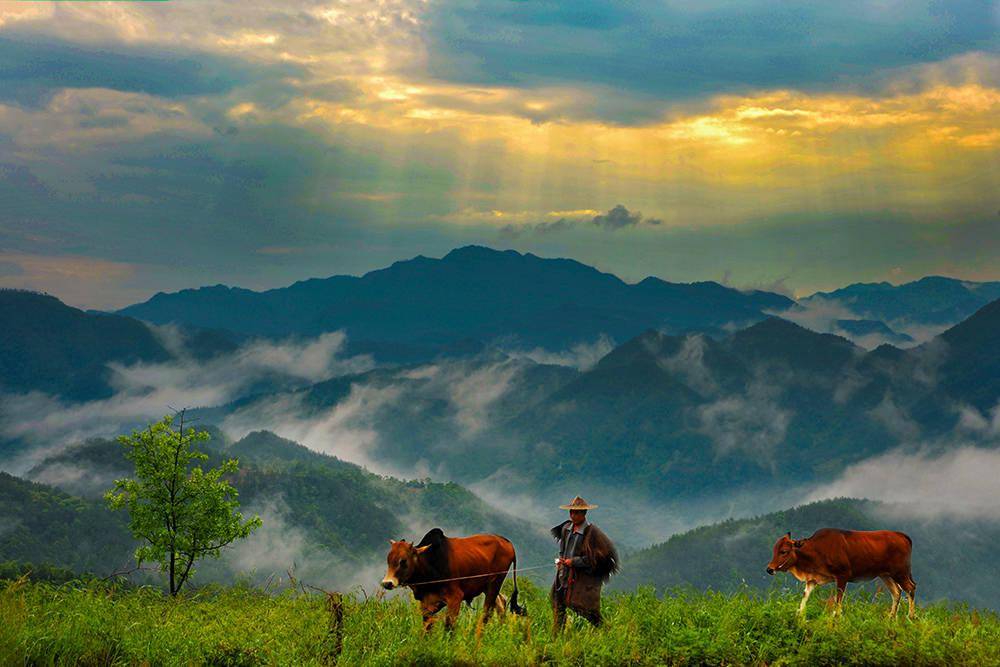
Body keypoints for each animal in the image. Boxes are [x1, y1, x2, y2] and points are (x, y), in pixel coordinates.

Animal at [380, 528, 524, 632]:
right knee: (501, 603)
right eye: (388, 559)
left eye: (403, 561)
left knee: (486, 614)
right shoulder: (426, 603)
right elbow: (427, 628)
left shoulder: (455, 598)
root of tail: (507, 542)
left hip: (495, 583)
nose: (387, 583)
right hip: (487, 586)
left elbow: (449, 627)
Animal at [768, 528, 916, 620]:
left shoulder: (842, 575)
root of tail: (902, 535)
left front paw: (836, 615)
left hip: (900, 572)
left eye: (784, 551)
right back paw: (891, 617)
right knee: (896, 592)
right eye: (774, 550)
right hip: (885, 575)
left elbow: (838, 598)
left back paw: (910, 616)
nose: (769, 569)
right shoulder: (812, 579)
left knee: (910, 588)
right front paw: (799, 614)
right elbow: (805, 596)